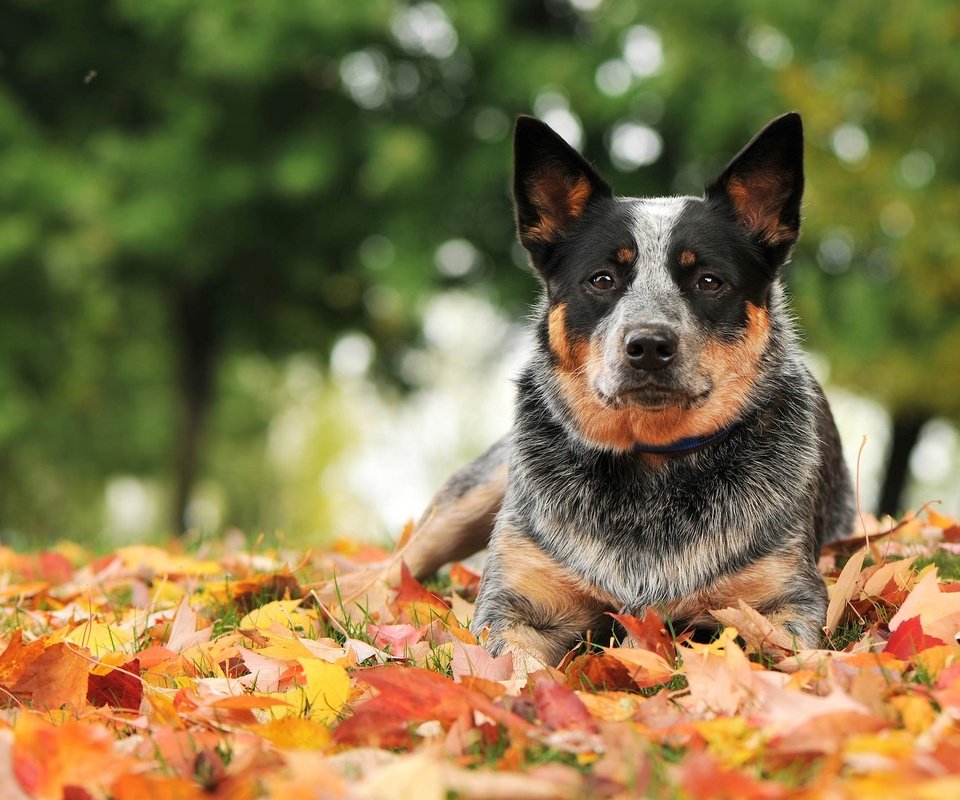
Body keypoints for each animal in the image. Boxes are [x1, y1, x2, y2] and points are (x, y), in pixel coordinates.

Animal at [400, 112, 856, 668]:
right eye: (602, 279)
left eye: (708, 280)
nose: (649, 344)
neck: (650, 465)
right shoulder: (516, 604)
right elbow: (514, 668)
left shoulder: (784, 600)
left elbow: (784, 657)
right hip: (477, 492)